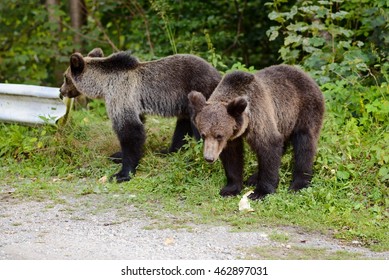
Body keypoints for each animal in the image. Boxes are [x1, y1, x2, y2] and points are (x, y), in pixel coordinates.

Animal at [59, 48, 220, 182]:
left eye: (66, 77)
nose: (61, 91)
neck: (104, 84)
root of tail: (218, 75)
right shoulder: (133, 104)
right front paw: (117, 155)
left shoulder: (121, 94)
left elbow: (130, 131)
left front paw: (122, 174)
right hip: (186, 103)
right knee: (182, 126)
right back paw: (168, 151)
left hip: (200, 91)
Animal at [188, 64, 324, 200]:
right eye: (203, 135)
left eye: (219, 136)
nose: (209, 158)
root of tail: (306, 75)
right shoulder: (232, 137)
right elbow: (232, 157)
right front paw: (230, 189)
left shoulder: (259, 116)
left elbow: (269, 146)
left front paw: (260, 192)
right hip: (283, 121)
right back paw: (253, 178)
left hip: (305, 110)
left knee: (304, 144)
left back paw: (299, 183)